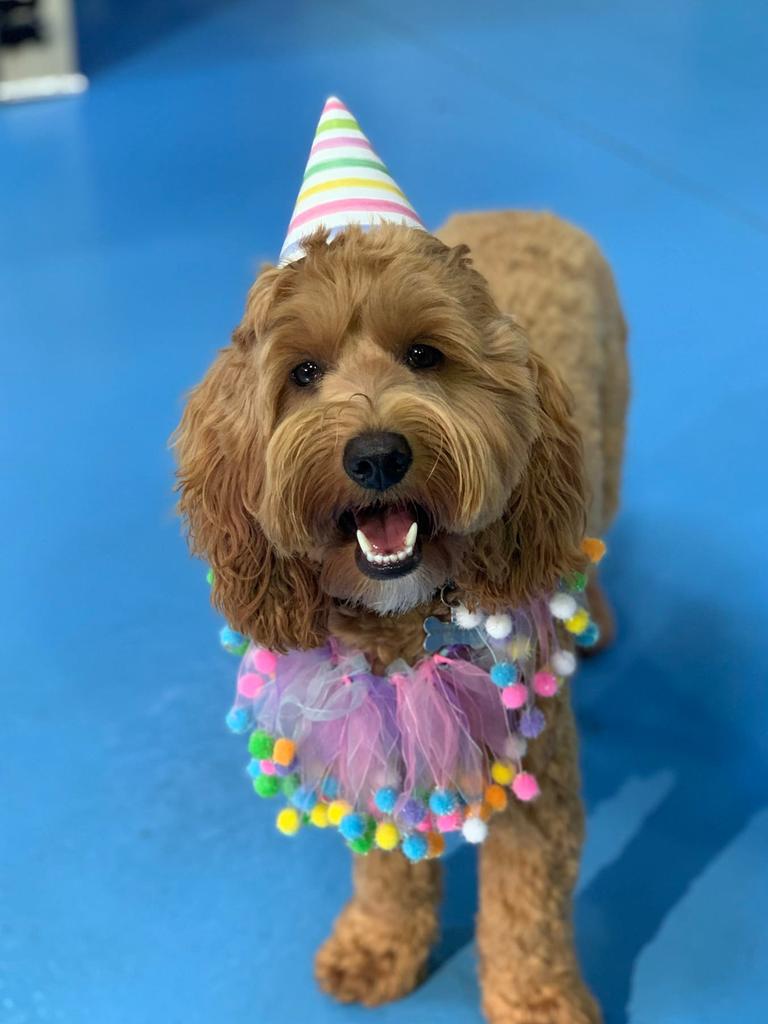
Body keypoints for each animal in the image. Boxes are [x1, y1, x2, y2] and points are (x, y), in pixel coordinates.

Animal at [176, 209, 630, 1024]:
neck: (407, 623)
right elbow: (387, 866)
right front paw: (379, 944)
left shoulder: (536, 781)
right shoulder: (371, 736)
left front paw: (537, 1000)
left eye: (424, 355)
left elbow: (527, 911)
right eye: (304, 373)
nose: (377, 455)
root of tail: (523, 208)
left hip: (604, 449)